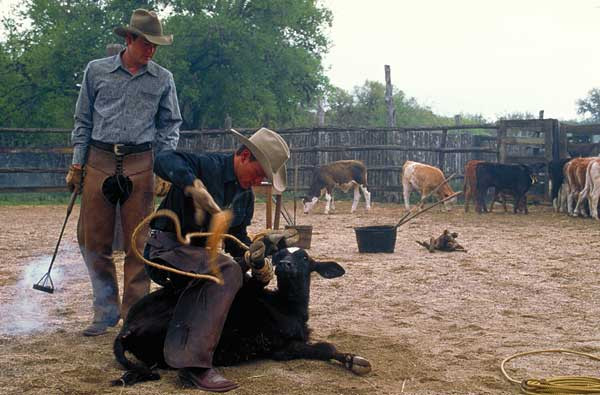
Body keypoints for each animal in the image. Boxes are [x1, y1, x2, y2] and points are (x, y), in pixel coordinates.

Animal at [110, 248, 368, 386]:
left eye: (304, 258)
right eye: (280, 255)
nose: (284, 264)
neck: (287, 306)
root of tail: (127, 329)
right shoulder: (282, 348)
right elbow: (325, 347)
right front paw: (353, 360)